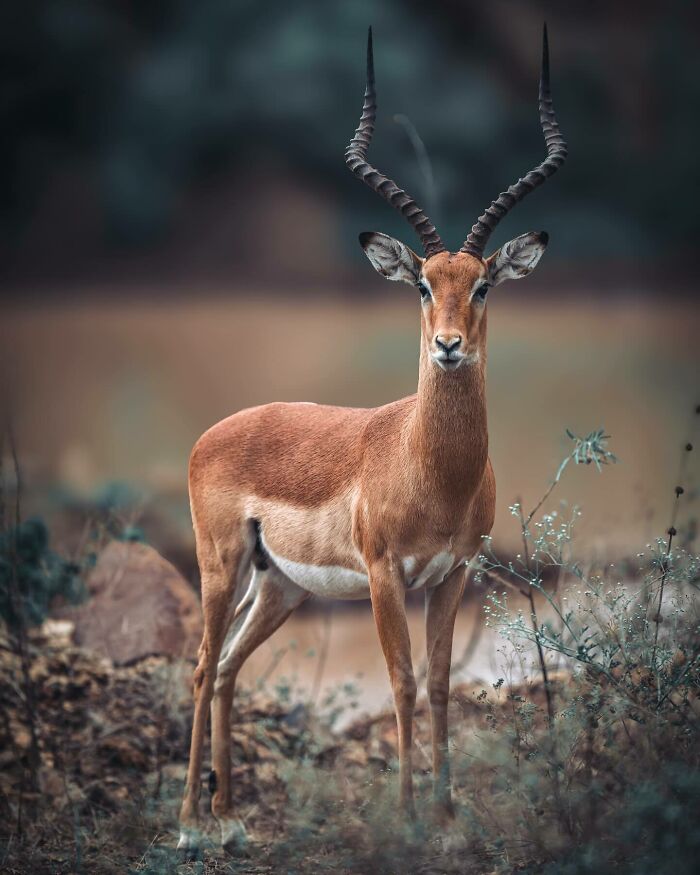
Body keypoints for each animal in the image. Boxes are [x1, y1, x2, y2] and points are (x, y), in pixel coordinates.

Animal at [178, 24, 567, 856]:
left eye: (482, 282)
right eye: (422, 283)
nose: (449, 346)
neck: (429, 465)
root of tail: (214, 433)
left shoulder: (454, 572)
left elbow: (444, 681)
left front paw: (448, 816)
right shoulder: (387, 575)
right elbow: (403, 681)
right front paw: (411, 815)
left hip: (280, 586)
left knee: (226, 669)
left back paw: (228, 810)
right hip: (221, 566)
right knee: (199, 666)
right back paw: (190, 819)